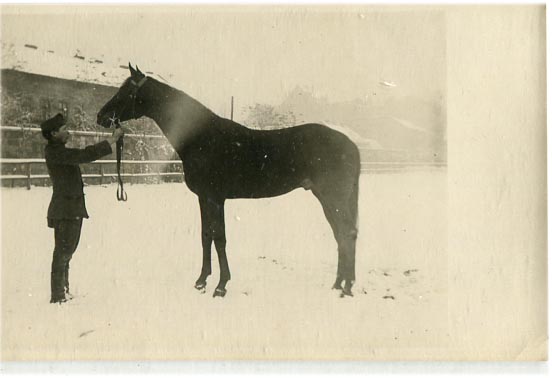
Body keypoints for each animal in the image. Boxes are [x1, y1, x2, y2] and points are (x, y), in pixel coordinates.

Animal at [97, 66, 360, 300]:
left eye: (126, 91)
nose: (101, 117)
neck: (202, 138)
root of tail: (350, 144)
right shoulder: (204, 198)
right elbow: (206, 236)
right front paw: (201, 281)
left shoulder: (215, 198)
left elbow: (220, 238)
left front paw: (221, 286)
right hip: (325, 197)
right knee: (341, 234)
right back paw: (338, 284)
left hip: (333, 197)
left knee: (347, 233)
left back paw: (346, 287)